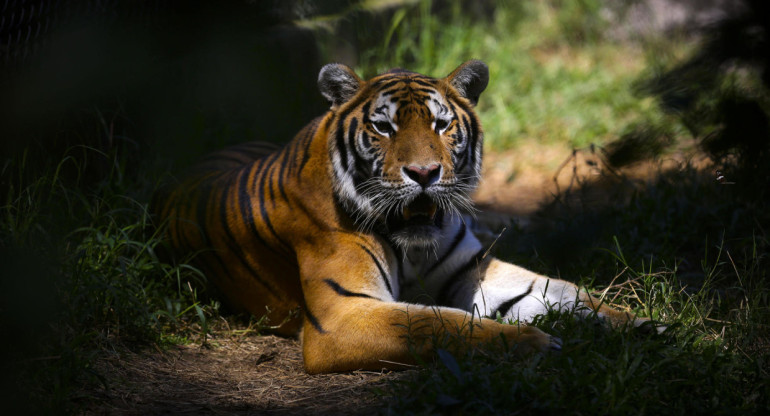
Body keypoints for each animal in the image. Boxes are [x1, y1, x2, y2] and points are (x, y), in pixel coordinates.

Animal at [154, 61, 648, 374]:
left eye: (441, 125)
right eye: (383, 127)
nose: (425, 173)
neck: (413, 242)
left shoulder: (472, 270)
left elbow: (567, 292)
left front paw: (646, 328)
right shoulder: (344, 313)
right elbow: (436, 322)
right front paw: (534, 343)